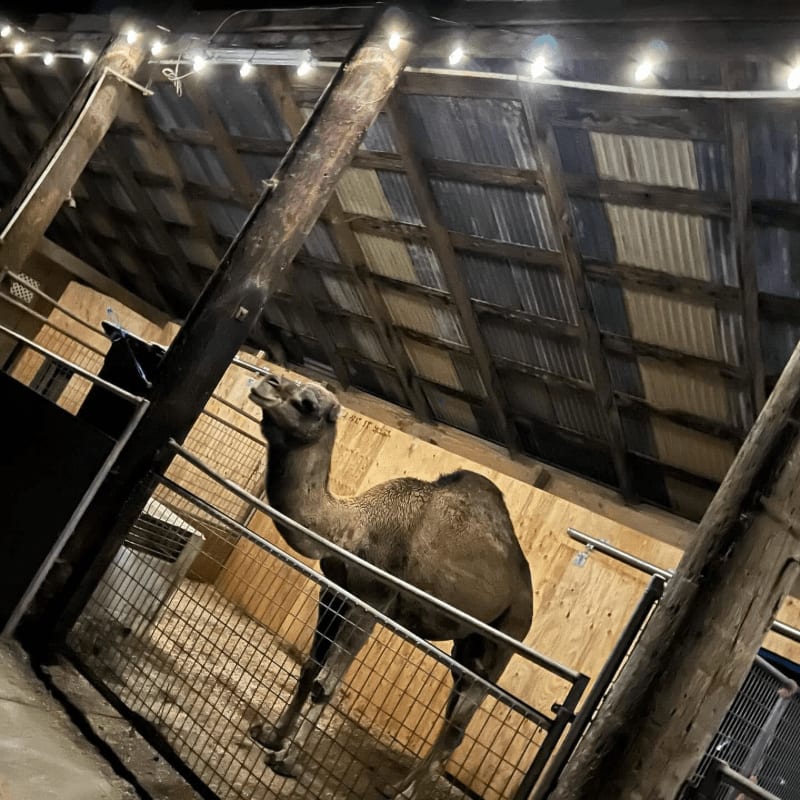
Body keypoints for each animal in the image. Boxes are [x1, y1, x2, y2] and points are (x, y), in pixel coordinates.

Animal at [248, 369, 533, 799]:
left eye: (308, 404)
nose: (266, 381)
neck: (352, 527)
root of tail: (526, 587)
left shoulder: (373, 600)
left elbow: (326, 685)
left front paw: (287, 761)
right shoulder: (334, 592)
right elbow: (311, 668)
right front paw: (270, 735)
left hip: (503, 642)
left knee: (459, 723)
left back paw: (405, 792)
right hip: (467, 645)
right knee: (452, 717)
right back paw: (398, 784)